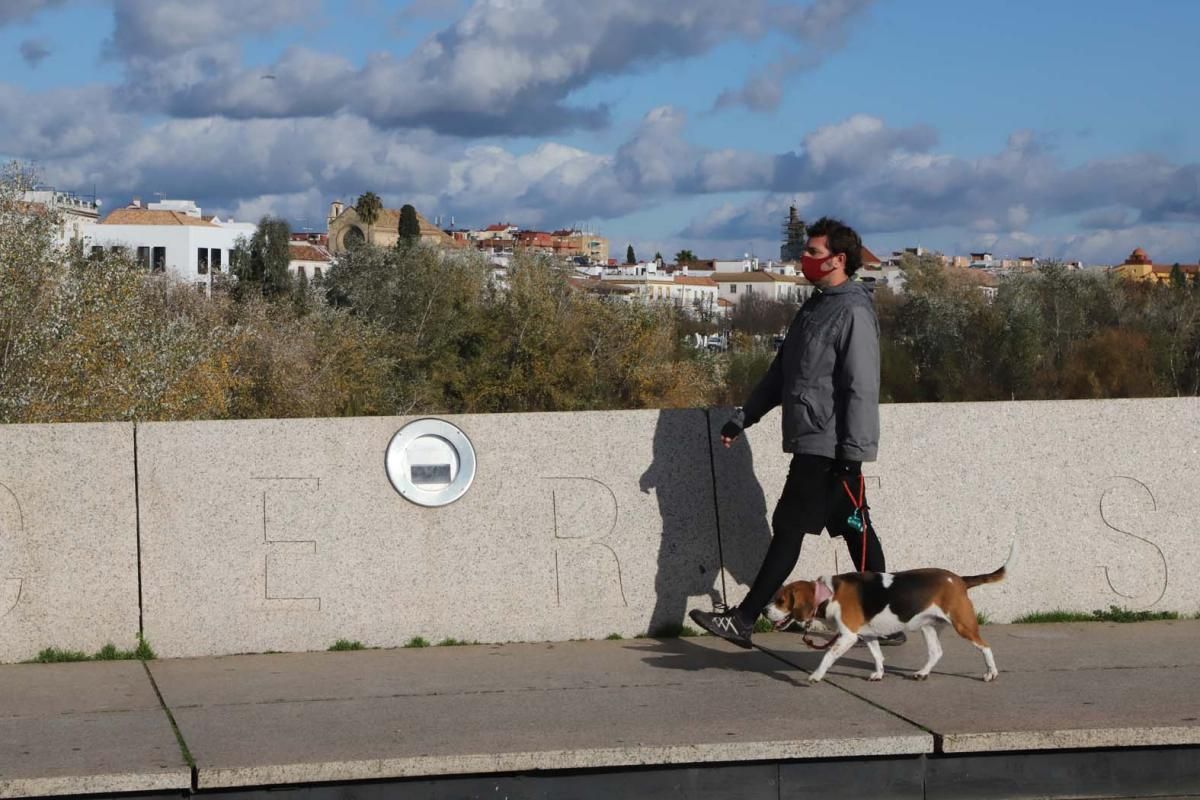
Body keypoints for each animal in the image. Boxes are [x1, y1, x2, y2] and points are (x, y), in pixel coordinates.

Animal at [763, 546, 1008, 686]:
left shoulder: (848, 636)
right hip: (927, 626)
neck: (829, 594)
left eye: (781, 600)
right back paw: (922, 673)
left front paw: (816, 676)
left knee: (985, 647)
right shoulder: (868, 635)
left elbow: (828, 655)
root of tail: (959, 579)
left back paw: (991, 673)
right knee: (936, 652)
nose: (764, 611)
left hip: (963, 624)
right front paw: (879, 674)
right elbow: (877, 656)